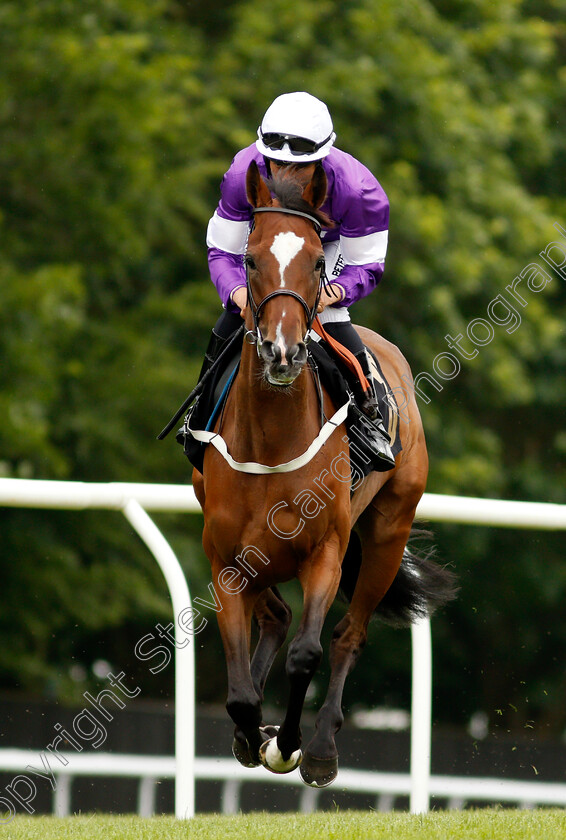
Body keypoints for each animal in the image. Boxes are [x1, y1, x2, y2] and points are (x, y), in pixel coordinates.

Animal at [193, 162, 460, 788]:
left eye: (318, 262)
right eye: (250, 260)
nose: (282, 351)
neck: (271, 442)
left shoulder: (326, 551)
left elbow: (308, 653)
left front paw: (287, 745)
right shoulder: (225, 556)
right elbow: (239, 691)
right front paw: (252, 734)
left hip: (387, 534)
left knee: (348, 635)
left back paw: (318, 748)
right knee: (276, 615)